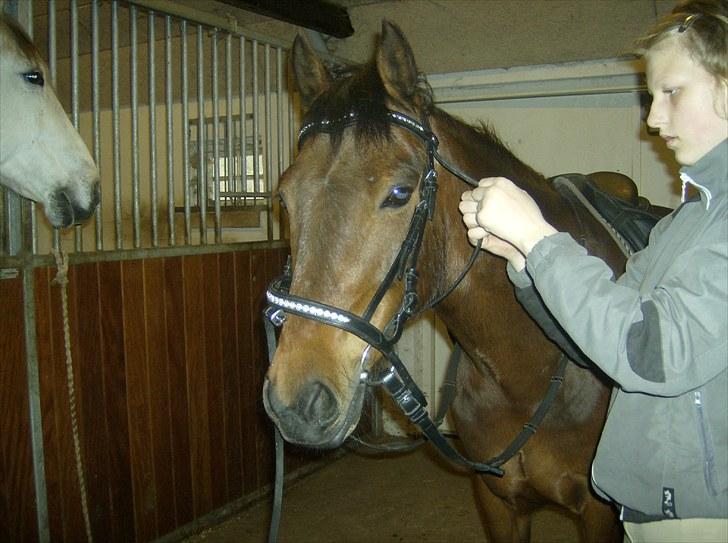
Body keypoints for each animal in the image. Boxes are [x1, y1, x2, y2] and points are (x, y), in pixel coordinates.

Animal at [264, 21, 625, 542]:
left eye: (399, 193)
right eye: (284, 198)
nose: (297, 402)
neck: (528, 368)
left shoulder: (600, 515)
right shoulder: (499, 503)